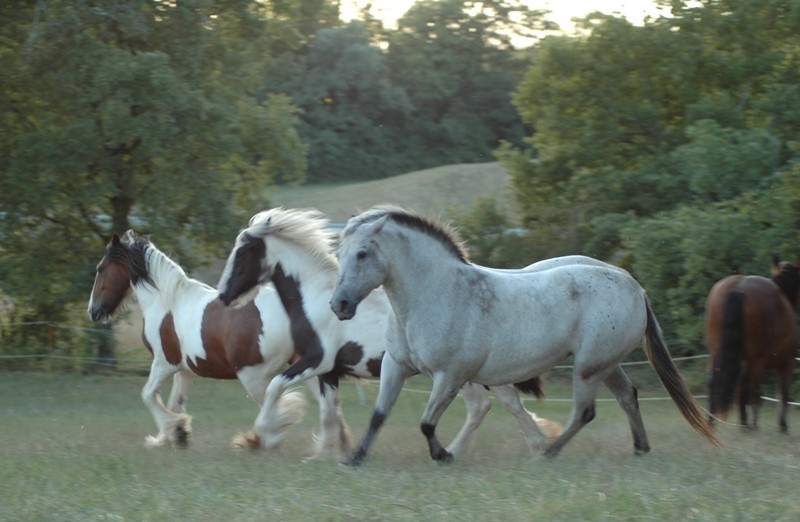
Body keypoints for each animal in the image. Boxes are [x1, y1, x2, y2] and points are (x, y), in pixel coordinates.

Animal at [216, 205, 560, 458]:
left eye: (243, 253)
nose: (223, 296)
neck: (314, 298)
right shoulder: (329, 372)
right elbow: (329, 414)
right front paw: (330, 453)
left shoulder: (317, 360)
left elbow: (275, 386)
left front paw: (260, 435)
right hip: (479, 373)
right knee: (505, 403)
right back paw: (538, 445)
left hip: (461, 374)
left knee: (485, 406)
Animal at [328, 205, 716, 462]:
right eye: (339, 253)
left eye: (361, 253)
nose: (339, 305)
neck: (437, 293)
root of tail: (633, 285)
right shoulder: (396, 365)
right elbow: (380, 414)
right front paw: (355, 457)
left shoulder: (450, 375)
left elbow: (426, 422)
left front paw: (444, 456)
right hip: (606, 364)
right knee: (627, 396)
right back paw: (638, 448)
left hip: (587, 368)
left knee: (585, 412)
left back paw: (548, 453)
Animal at [708, 256, 800, 430]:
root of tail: (738, 287)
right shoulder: (787, 363)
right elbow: (782, 393)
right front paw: (783, 425)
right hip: (756, 359)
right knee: (749, 386)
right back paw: (748, 425)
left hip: (716, 353)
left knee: (714, 381)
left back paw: (712, 421)